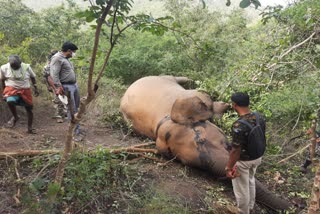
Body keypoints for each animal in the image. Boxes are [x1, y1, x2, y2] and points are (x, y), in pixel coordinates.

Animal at [119, 75, 290, 211]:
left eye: (201, 139)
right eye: (184, 162)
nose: (294, 206)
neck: (164, 121)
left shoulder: (195, 96)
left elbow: (209, 99)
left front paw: (224, 105)